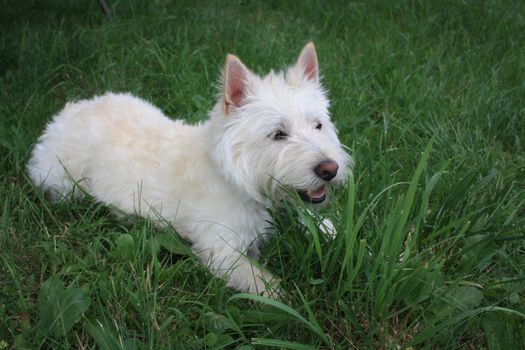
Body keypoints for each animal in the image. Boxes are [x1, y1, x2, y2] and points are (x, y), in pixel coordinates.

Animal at [26, 42, 350, 296]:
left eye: (318, 125)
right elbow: (265, 283)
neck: (238, 179)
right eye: (278, 134)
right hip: (64, 184)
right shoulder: (221, 250)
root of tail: (66, 113)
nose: (330, 169)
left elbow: (323, 224)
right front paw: (288, 300)